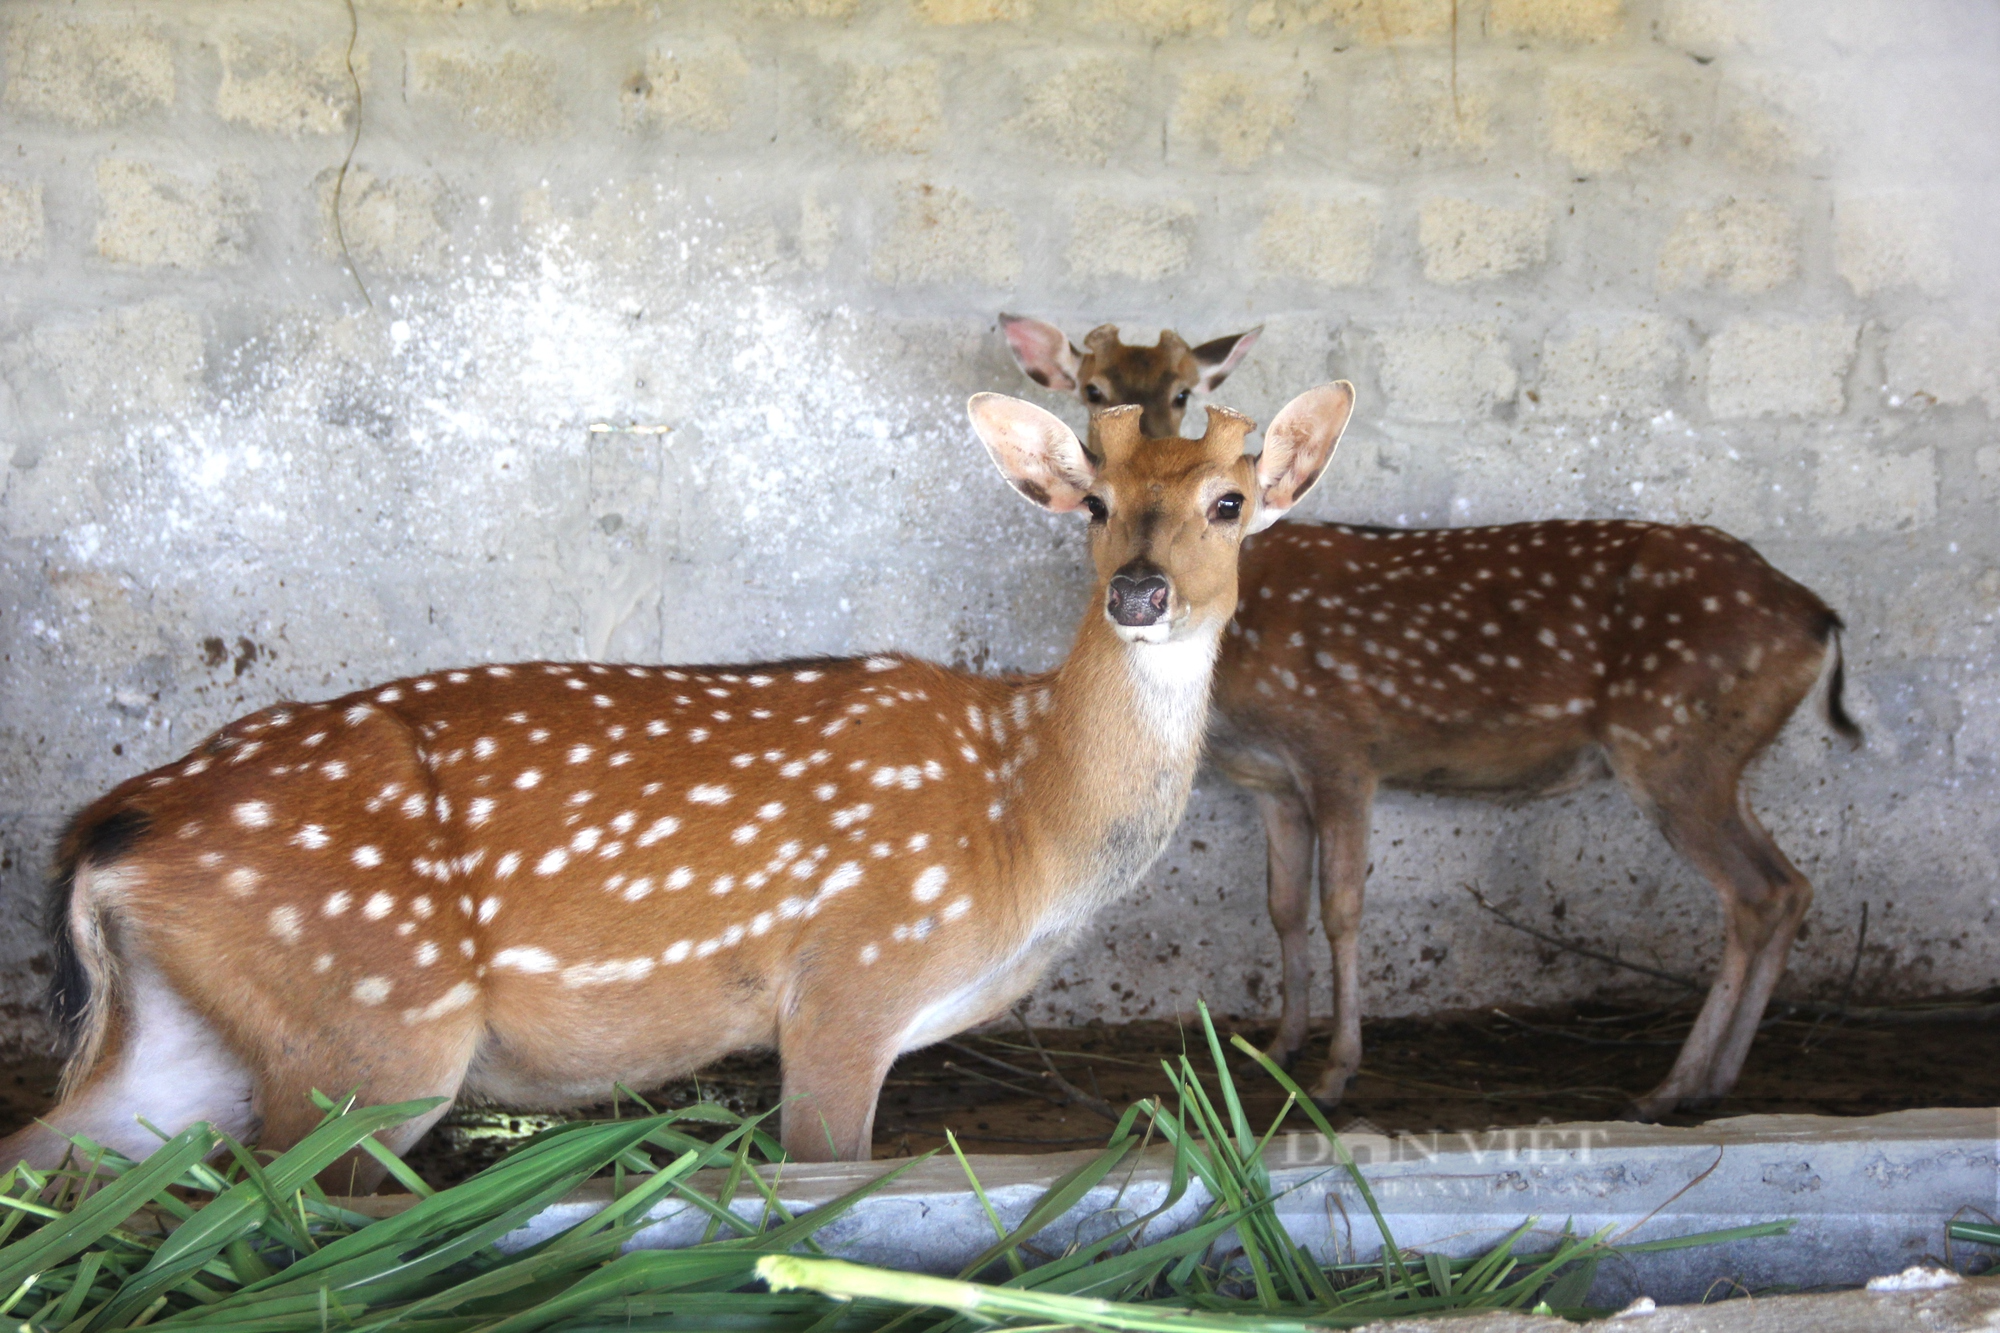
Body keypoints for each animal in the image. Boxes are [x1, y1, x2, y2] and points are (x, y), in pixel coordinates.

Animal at [3, 378, 1360, 1176]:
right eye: (1090, 502)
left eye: (1229, 502)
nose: (1140, 592)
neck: (1019, 823)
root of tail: (111, 830)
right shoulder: (848, 983)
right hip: (369, 1027)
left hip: (195, 1039)